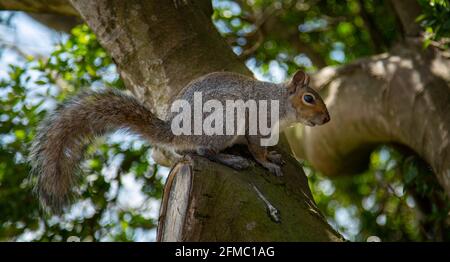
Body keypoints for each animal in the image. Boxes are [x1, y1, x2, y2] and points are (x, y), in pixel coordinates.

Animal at [29, 69, 330, 211]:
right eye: (309, 98)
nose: (327, 119)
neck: (279, 103)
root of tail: (177, 130)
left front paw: (274, 155)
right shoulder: (256, 122)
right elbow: (256, 149)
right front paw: (268, 163)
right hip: (224, 118)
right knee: (203, 150)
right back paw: (231, 160)